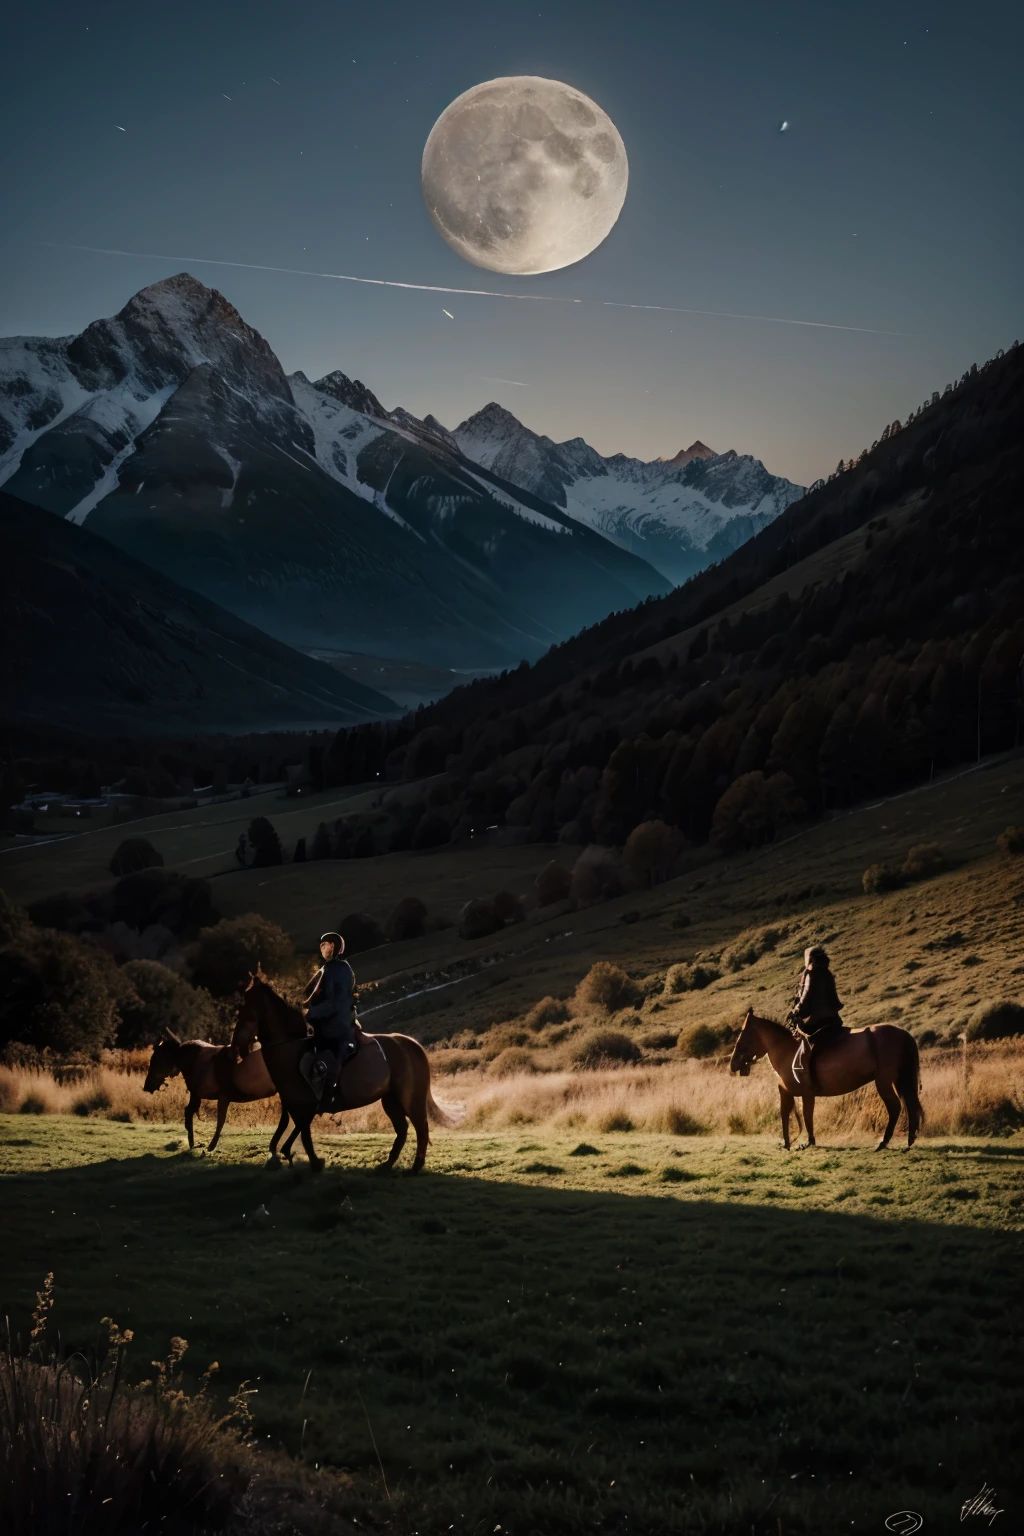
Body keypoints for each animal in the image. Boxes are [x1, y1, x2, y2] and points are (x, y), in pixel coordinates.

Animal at [142, 1032, 290, 1155]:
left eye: (155, 1059)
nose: (147, 1086)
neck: (191, 1061)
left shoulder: (217, 1095)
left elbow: (218, 1120)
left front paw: (206, 1145)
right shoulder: (199, 1095)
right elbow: (190, 1112)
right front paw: (193, 1142)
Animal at [234, 970, 457, 1173]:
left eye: (245, 1005)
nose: (238, 1044)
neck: (291, 1048)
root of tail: (412, 1045)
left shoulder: (301, 1102)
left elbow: (302, 1131)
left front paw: (312, 1161)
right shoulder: (293, 1101)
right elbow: (291, 1126)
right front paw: (282, 1153)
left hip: (410, 1099)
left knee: (421, 1128)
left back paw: (415, 1167)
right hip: (390, 1099)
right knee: (402, 1129)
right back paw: (387, 1165)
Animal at [727, 1007, 927, 1155]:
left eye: (743, 1034)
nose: (733, 1064)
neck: (788, 1052)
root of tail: (903, 1034)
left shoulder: (806, 1094)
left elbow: (806, 1116)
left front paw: (808, 1143)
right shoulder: (787, 1093)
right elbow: (786, 1115)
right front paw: (788, 1144)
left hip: (884, 1082)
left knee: (895, 1108)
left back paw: (883, 1143)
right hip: (899, 1081)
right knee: (909, 1105)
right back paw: (909, 1140)